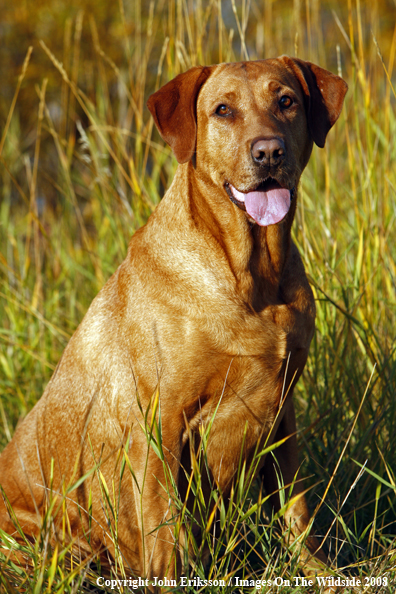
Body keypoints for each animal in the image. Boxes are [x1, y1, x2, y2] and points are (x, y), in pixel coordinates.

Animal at [0, 54, 346, 584]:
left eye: (286, 100)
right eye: (223, 110)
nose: (269, 151)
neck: (252, 277)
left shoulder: (284, 410)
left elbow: (297, 508)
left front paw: (317, 570)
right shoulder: (160, 423)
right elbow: (164, 526)